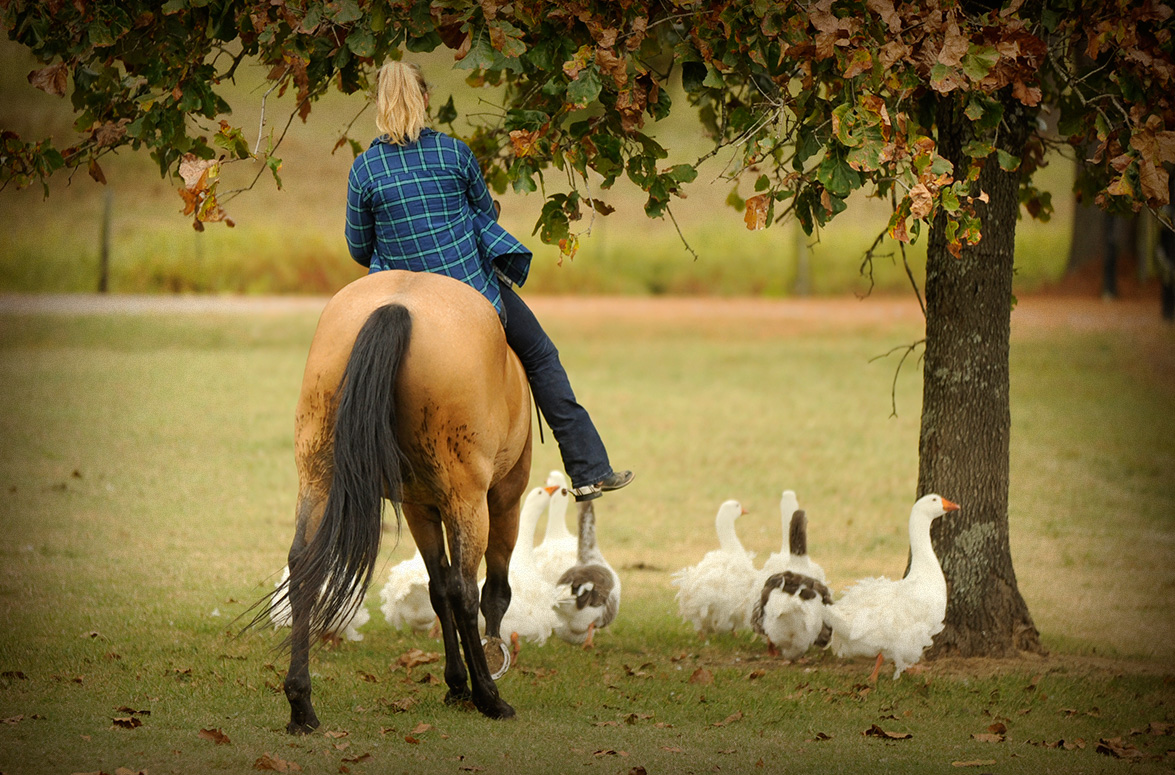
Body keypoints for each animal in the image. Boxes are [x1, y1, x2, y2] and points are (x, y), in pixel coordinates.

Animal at [269, 268, 531, 728]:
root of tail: (397, 304)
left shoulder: (417, 505)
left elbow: (436, 588)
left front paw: (455, 684)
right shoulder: (503, 497)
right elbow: (489, 590)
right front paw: (473, 679)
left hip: (317, 477)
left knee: (304, 566)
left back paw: (301, 705)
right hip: (469, 498)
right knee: (465, 589)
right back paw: (490, 697)